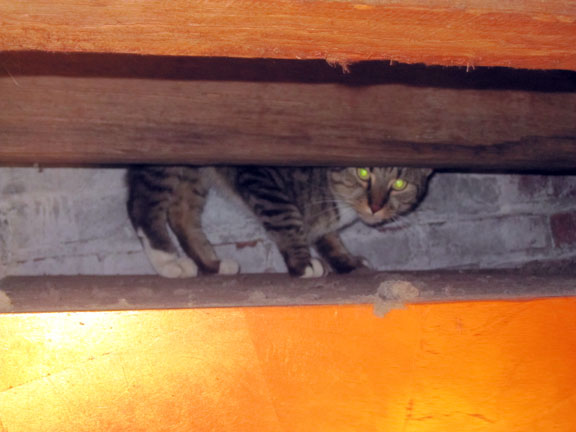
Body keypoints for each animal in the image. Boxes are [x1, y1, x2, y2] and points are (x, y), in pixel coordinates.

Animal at [127, 166, 432, 278]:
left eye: (400, 184)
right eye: (363, 172)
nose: (376, 206)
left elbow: (327, 235)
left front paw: (346, 262)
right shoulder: (262, 178)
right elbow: (288, 219)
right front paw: (302, 263)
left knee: (182, 213)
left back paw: (212, 264)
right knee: (143, 202)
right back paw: (168, 262)